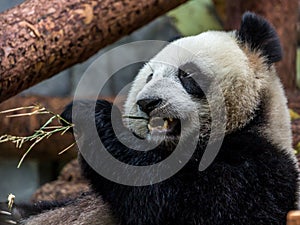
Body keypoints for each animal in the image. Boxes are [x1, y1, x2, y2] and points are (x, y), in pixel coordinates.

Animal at [0, 11, 300, 225]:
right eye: (150, 76)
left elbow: (173, 202)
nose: (147, 103)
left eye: (187, 76)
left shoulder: (260, 170)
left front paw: (91, 115)